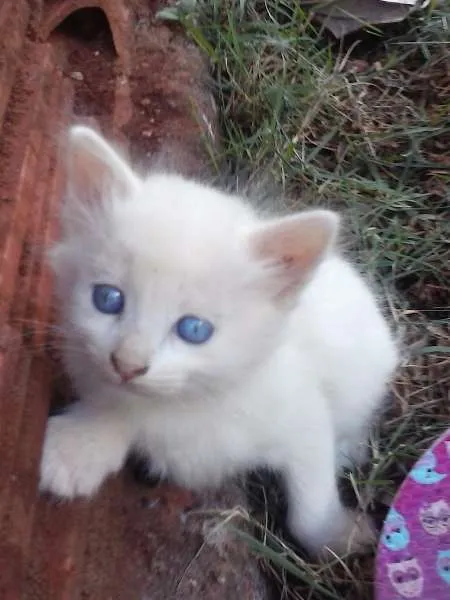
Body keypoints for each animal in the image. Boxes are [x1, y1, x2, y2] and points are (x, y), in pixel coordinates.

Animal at [38, 125, 398, 556]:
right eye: (107, 299)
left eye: (194, 330)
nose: (127, 364)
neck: (195, 402)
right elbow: (118, 407)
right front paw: (76, 448)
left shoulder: (303, 417)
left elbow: (309, 507)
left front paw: (340, 539)